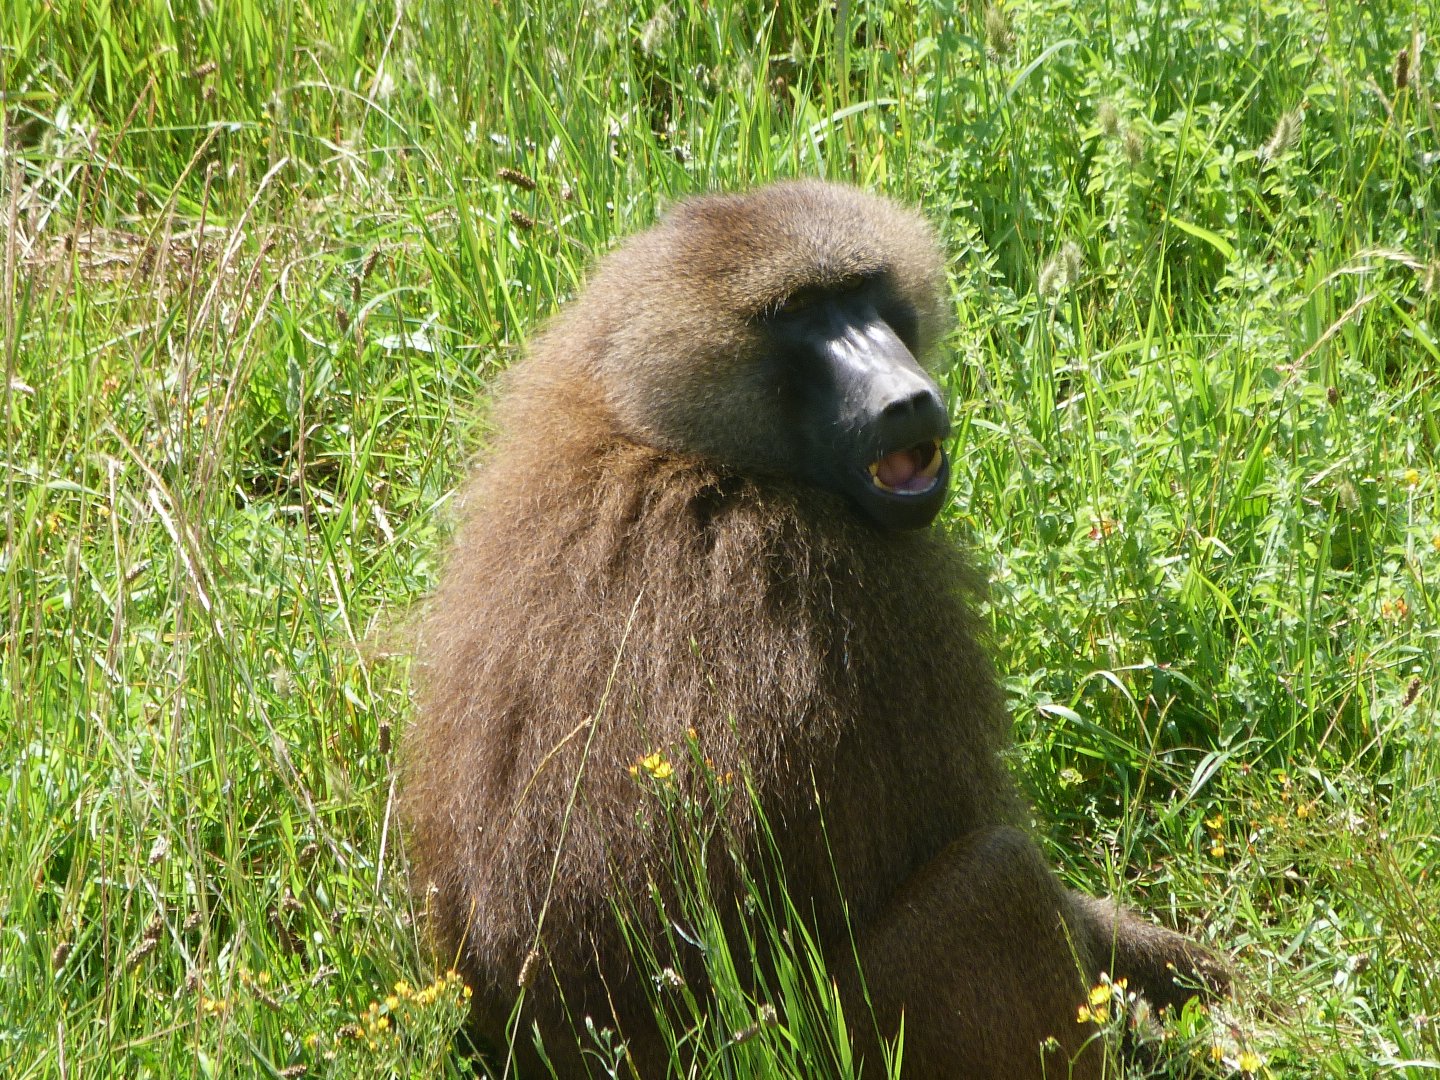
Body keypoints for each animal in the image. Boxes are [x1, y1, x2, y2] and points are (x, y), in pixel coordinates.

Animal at [401, 179, 1227, 1079]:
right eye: (798, 314)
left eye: (862, 293)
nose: (906, 399)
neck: (668, 437)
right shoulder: (879, 602)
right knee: (997, 877)